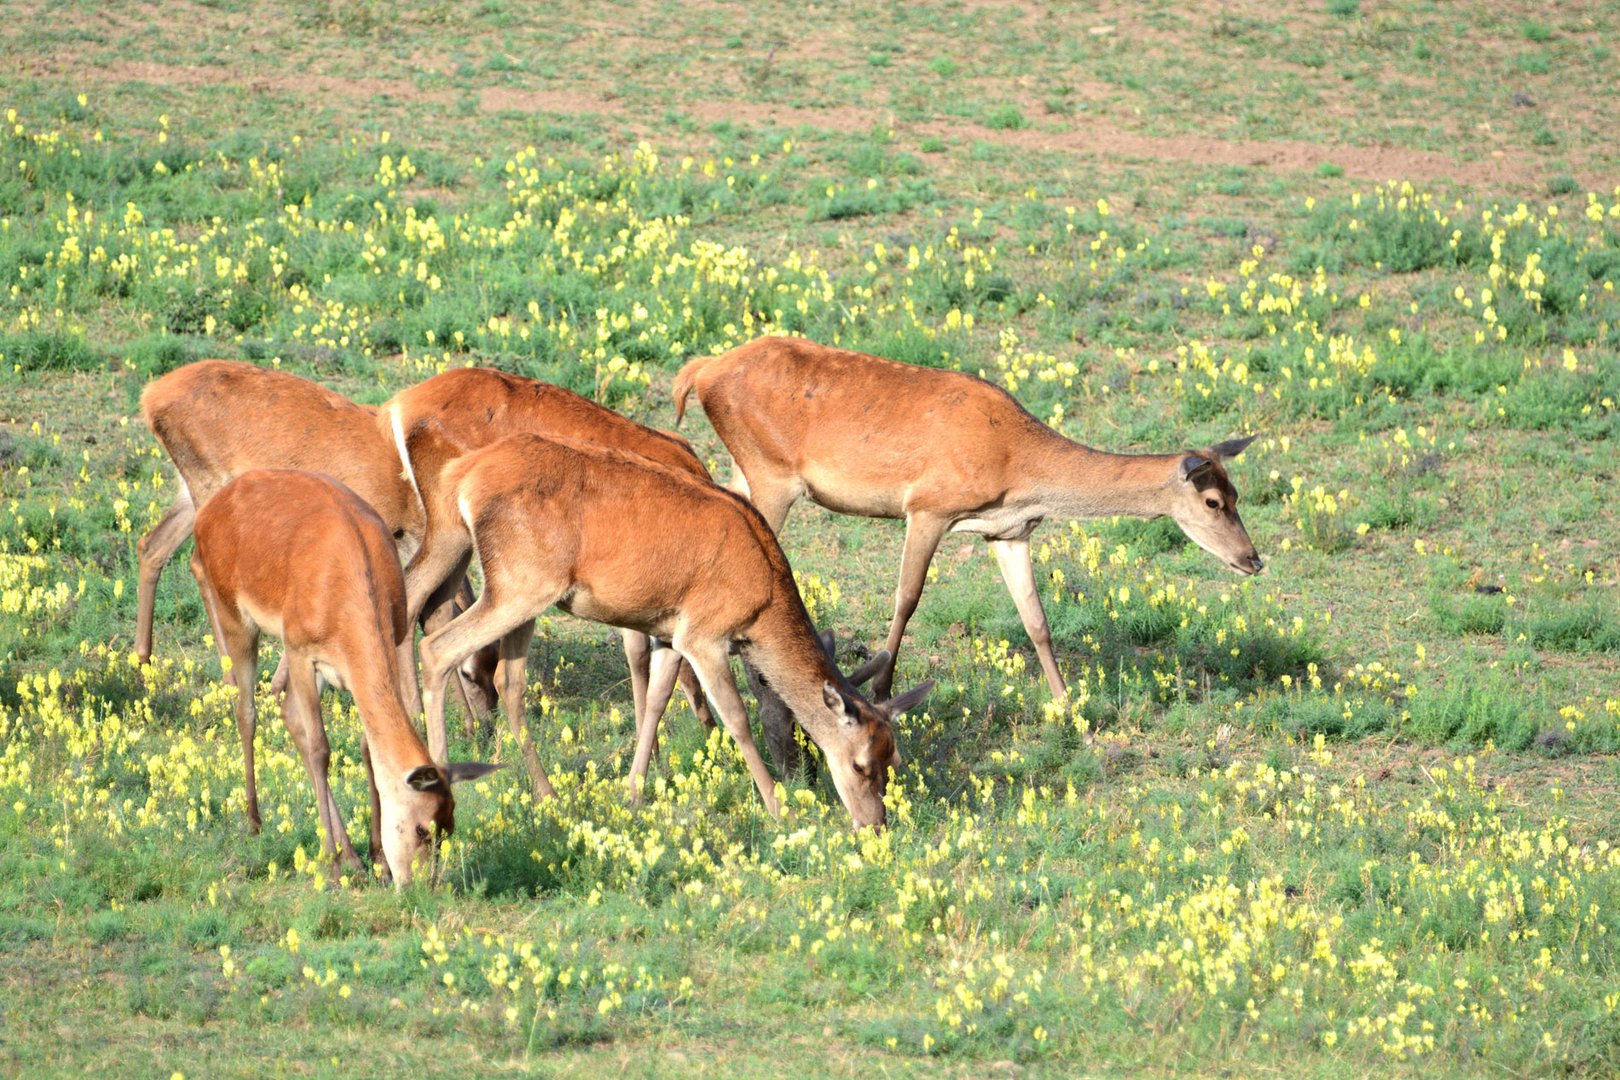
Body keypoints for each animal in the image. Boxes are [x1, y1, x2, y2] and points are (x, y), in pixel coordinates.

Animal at [190, 469, 495, 887]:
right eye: (422, 828)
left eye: (448, 827)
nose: (420, 887)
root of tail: (210, 509)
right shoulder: (301, 651)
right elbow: (321, 748)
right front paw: (334, 866)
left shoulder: (359, 661)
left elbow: (366, 749)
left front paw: (376, 858)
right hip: (234, 615)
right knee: (247, 711)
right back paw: (256, 823)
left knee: (287, 713)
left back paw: (352, 855)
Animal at [379, 362, 716, 786]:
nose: (712, 731)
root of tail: (403, 404)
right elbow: (647, 657)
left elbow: (638, 654)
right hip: (452, 540)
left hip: (458, 544)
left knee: (430, 607)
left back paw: (466, 729)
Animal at [411, 433, 933, 835]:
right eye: (860, 764)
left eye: (894, 761)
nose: (875, 825)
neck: (762, 602)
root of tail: (461, 474)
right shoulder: (704, 634)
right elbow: (735, 717)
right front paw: (777, 807)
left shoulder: (668, 633)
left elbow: (656, 702)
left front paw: (634, 793)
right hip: (520, 583)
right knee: (437, 647)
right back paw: (442, 782)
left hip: (512, 585)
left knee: (507, 681)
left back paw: (547, 794)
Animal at [670, 340, 1263, 709]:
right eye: (1214, 501)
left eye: (1238, 493)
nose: (1254, 559)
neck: (1017, 466)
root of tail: (699, 372)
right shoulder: (929, 506)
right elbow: (907, 598)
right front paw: (881, 687)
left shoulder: (1009, 531)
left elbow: (1036, 619)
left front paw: (1067, 704)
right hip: (771, 472)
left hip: (748, 471)